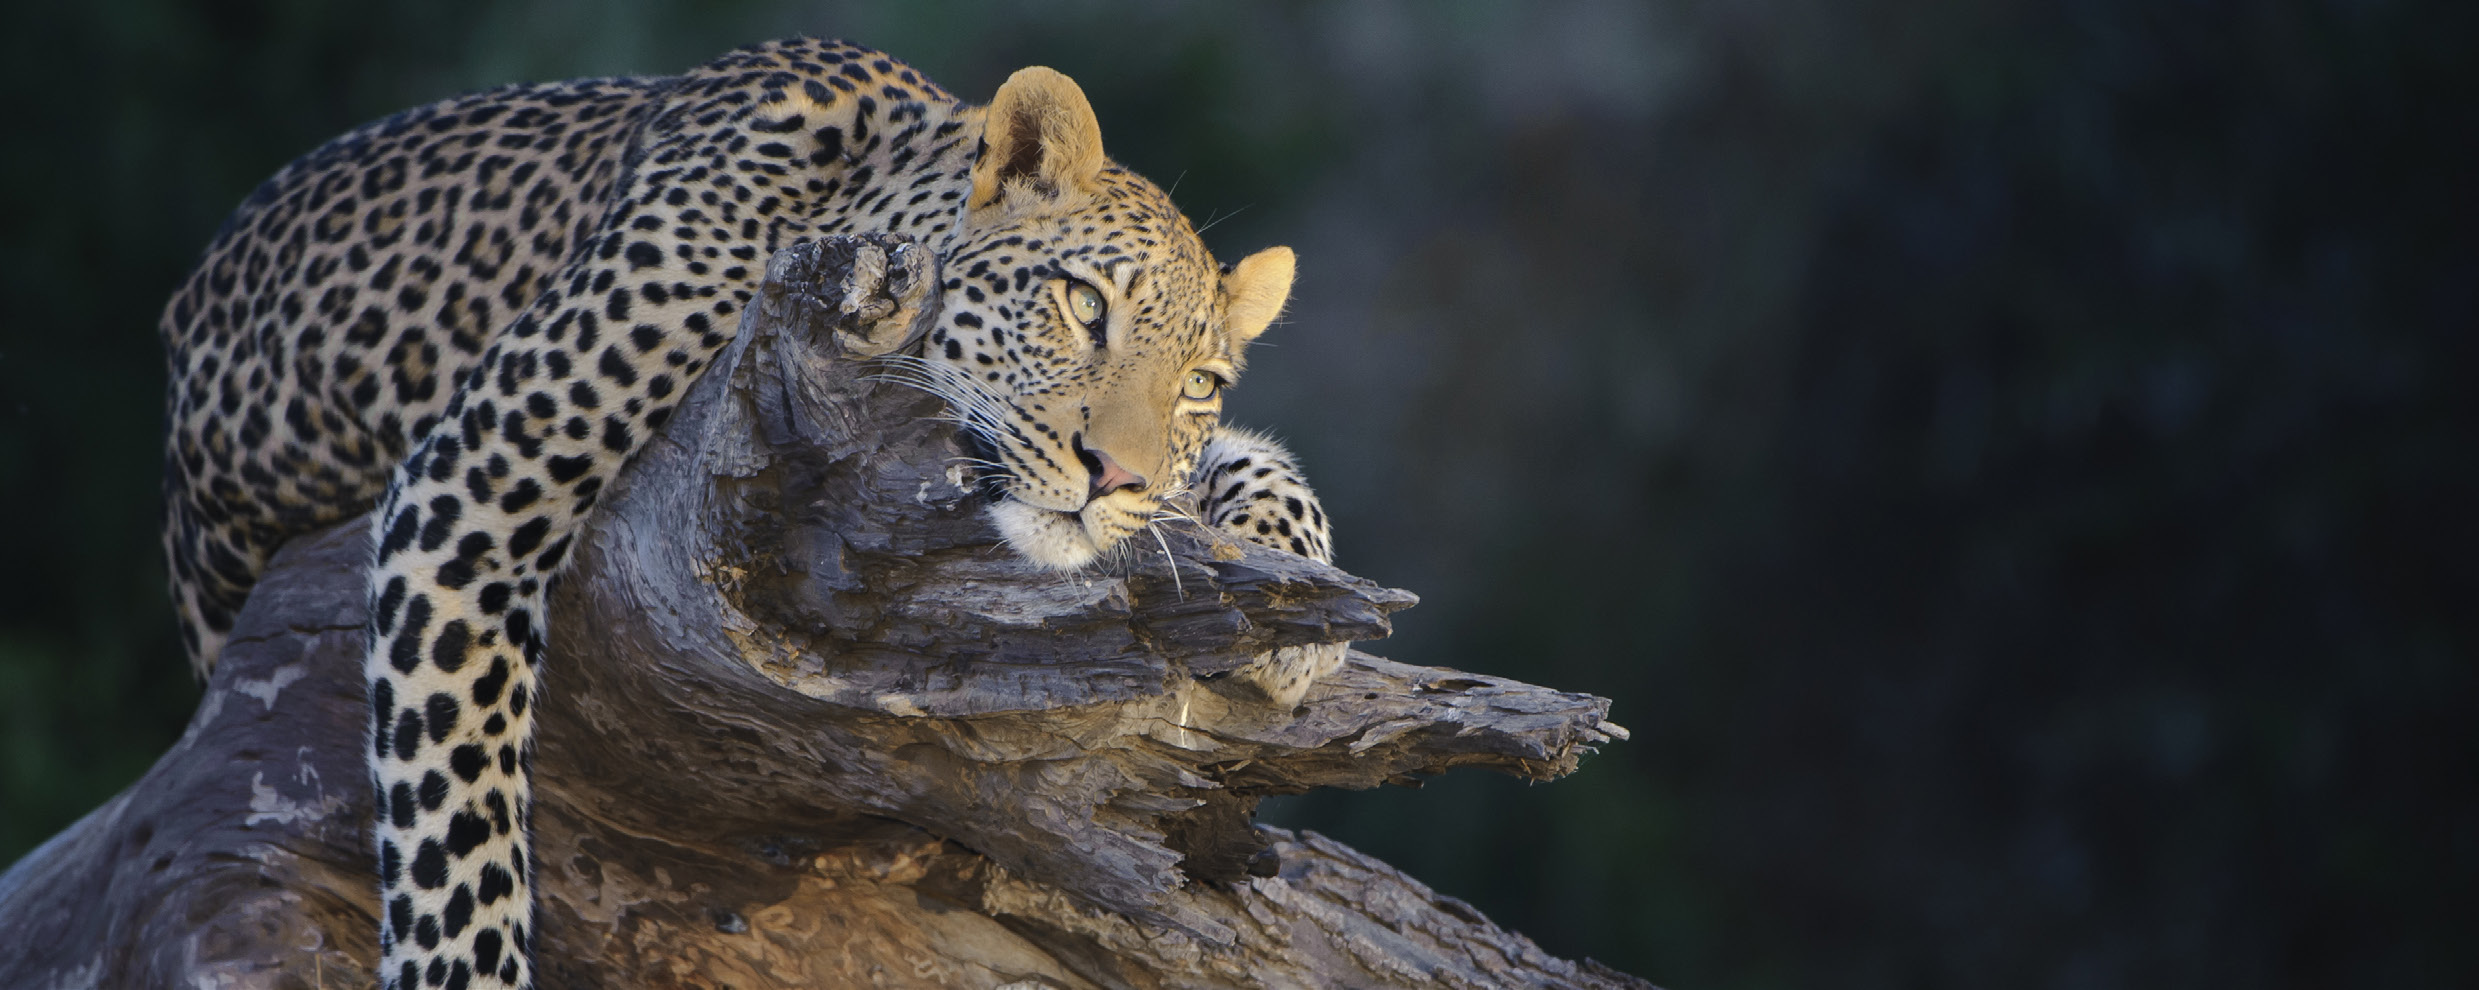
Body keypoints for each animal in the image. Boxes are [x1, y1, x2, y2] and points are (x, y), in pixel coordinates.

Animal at [156, 38, 1343, 990]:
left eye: (1199, 386)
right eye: (1083, 304)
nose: (1114, 478)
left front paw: (1296, 601)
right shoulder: (470, 490)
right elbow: (459, 837)